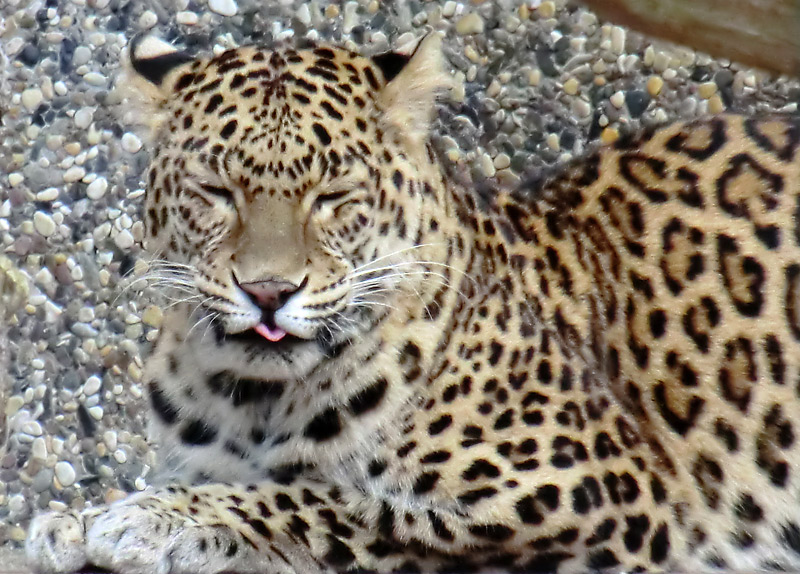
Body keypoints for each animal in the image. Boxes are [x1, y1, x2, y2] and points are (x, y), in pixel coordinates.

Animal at [24, 32, 800, 574]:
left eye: (332, 195)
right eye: (216, 190)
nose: (269, 292)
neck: (254, 399)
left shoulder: (601, 495)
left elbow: (334, 505)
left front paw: (155, 518)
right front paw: (78, 522)